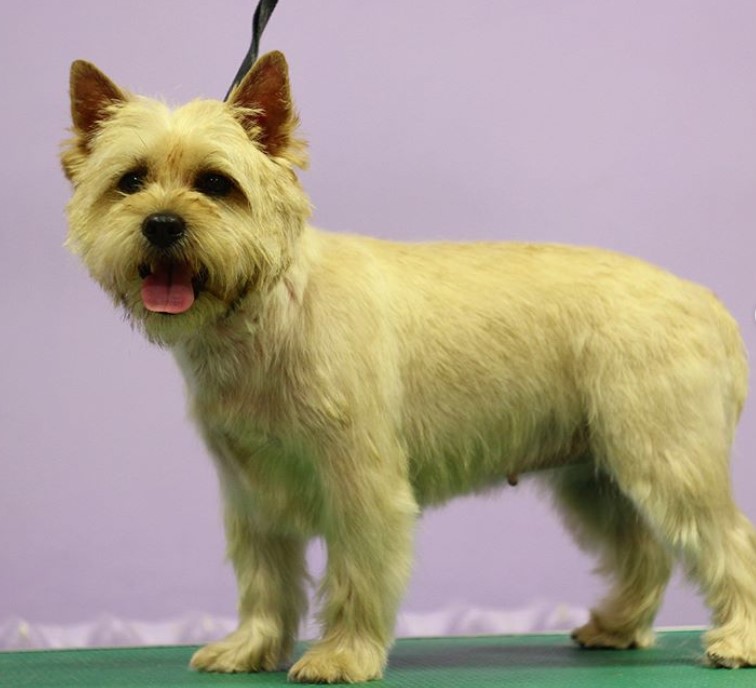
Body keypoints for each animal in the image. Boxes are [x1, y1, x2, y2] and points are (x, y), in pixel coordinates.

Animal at [60, 49, 756, 684]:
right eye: (130, 181)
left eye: (214, 183)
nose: (162, 224)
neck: (268, 313)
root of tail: (706, 300)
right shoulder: (251, 493)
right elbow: (264, 580)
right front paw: (250, 648)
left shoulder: (361, 485)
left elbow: (355, 575)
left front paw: (341, 656)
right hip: (596, 479)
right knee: (644, 554)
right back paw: (617, 627)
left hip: (668, 462)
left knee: (729, 541)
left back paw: (737, 640)